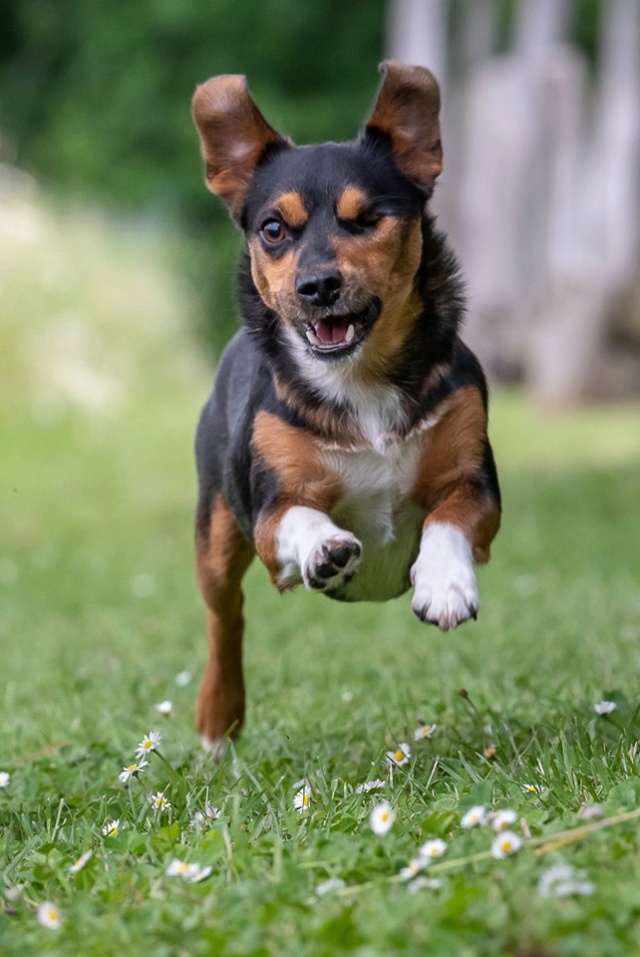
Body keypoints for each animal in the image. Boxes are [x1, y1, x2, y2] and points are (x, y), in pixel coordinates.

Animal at [190, 61, 500, 756]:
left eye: (368, 219)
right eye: (273, 229)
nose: (317, 286)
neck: (359, 380)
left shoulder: (476, 483)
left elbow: (448, 517)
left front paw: (445, 584)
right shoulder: (270, 509)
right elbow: (300, 519)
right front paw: (326, 549)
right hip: (216, 532)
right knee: (226, 619)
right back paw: (217, 724)